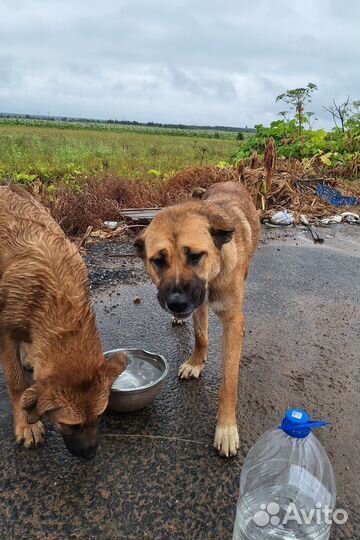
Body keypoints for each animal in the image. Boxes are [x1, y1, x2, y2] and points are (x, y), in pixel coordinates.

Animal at [0, 187, 126, 460]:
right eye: (72, 425)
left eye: (99, 417)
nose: (90, 455)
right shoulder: (3, 331)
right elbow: (16, 382)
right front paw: (26, 424)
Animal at [135, 181, 258, 456]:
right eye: (158, 261)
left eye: (194, 256)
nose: (176, 303)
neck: (214, 275)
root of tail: (229, 182)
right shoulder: (199, 306)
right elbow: (201, 336)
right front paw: (195, 362)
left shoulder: (232, 321)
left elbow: (229, 381)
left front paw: (226, 428)